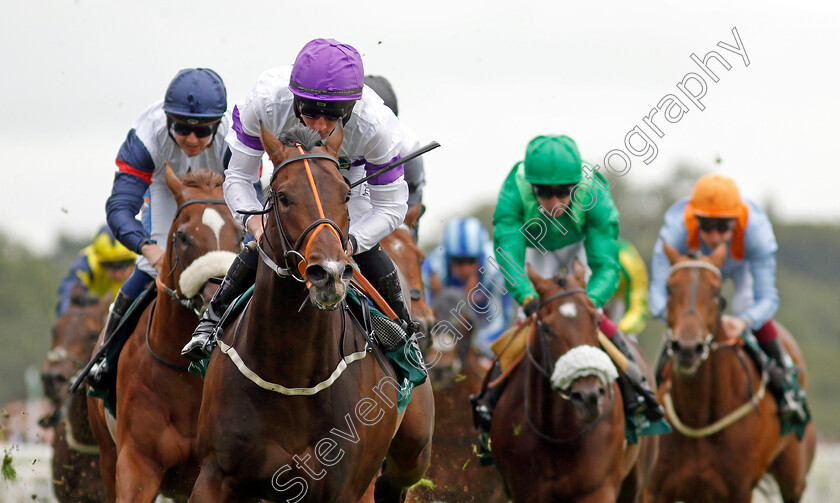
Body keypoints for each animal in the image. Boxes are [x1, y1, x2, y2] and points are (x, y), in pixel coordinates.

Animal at [88, 167, 243, 502]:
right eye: (183, 236)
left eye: (239, 234)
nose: (217, 296)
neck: (186, 374)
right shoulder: (136, 463)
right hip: (106, 455)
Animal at [189, 124, 434, 502]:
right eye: (283, 196)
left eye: (345, 195)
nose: (329, 273)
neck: (291, 371)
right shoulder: (216, 473)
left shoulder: (343, 487)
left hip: (413, 451)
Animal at [644, 244, 812, 503]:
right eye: (669, 289)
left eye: (716, 292)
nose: (687, 349)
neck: (698, 417)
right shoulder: (655, 489)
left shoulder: (740, 490)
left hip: (794, 478)